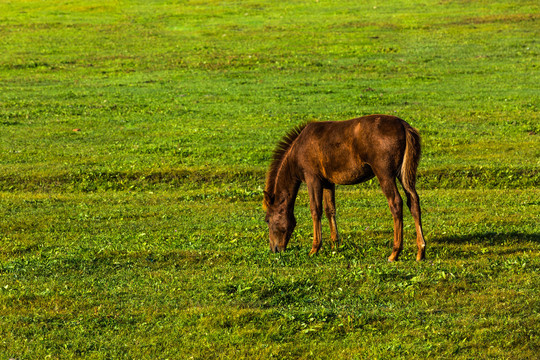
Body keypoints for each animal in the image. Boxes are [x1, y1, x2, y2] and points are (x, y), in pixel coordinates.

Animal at [264, 114, 426, 262]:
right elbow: (330, 210)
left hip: (385, 174)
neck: (298, 149)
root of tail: (403, 126)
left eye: (267, 220)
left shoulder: (313, 179)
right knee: (413, 202)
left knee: (396, 203)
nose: (274, 249)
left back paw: (394, 253)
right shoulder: (328, 182)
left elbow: (315, 210)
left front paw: (314, 248)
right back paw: (421, 251)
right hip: (403, 175)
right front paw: (335, 245)